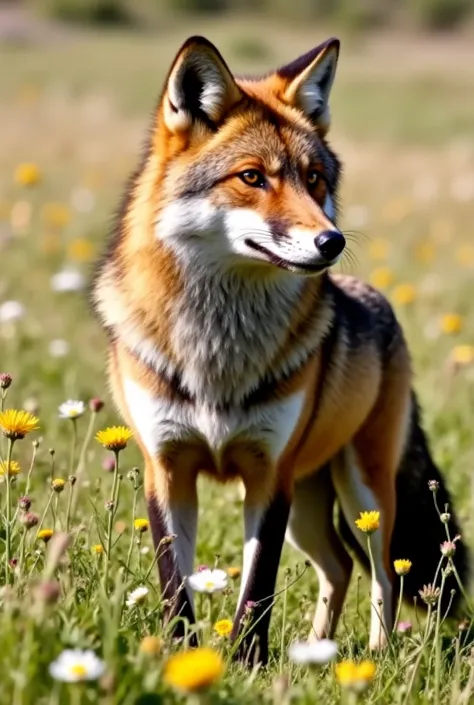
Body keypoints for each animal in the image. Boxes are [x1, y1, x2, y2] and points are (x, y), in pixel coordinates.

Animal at [91, 35, 469, 664]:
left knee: (385, 573)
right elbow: (176, 588)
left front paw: (246, 663)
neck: (216, 357)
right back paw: (317, 649)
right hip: (312, 506)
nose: (331, 241)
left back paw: (376, 657)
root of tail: (375, 302)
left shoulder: (271, 477)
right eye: (252, 177)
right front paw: (184, 656)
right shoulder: (166, 469)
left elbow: (257, 590)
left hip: (362, 493)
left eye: (314, 179)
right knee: (339, 567)